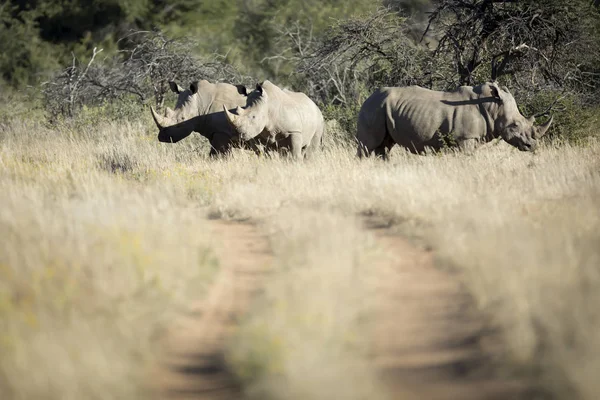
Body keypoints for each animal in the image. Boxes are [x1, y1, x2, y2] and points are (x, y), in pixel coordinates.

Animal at [356, 81, 552, 158]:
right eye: (515, 125)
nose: (532, 146)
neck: (493, 107)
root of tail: (367, 97)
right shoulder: (465, 138)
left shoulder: (470, 138)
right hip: (372, 108)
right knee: (368, 146)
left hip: (381, 108)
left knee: (384, 146)